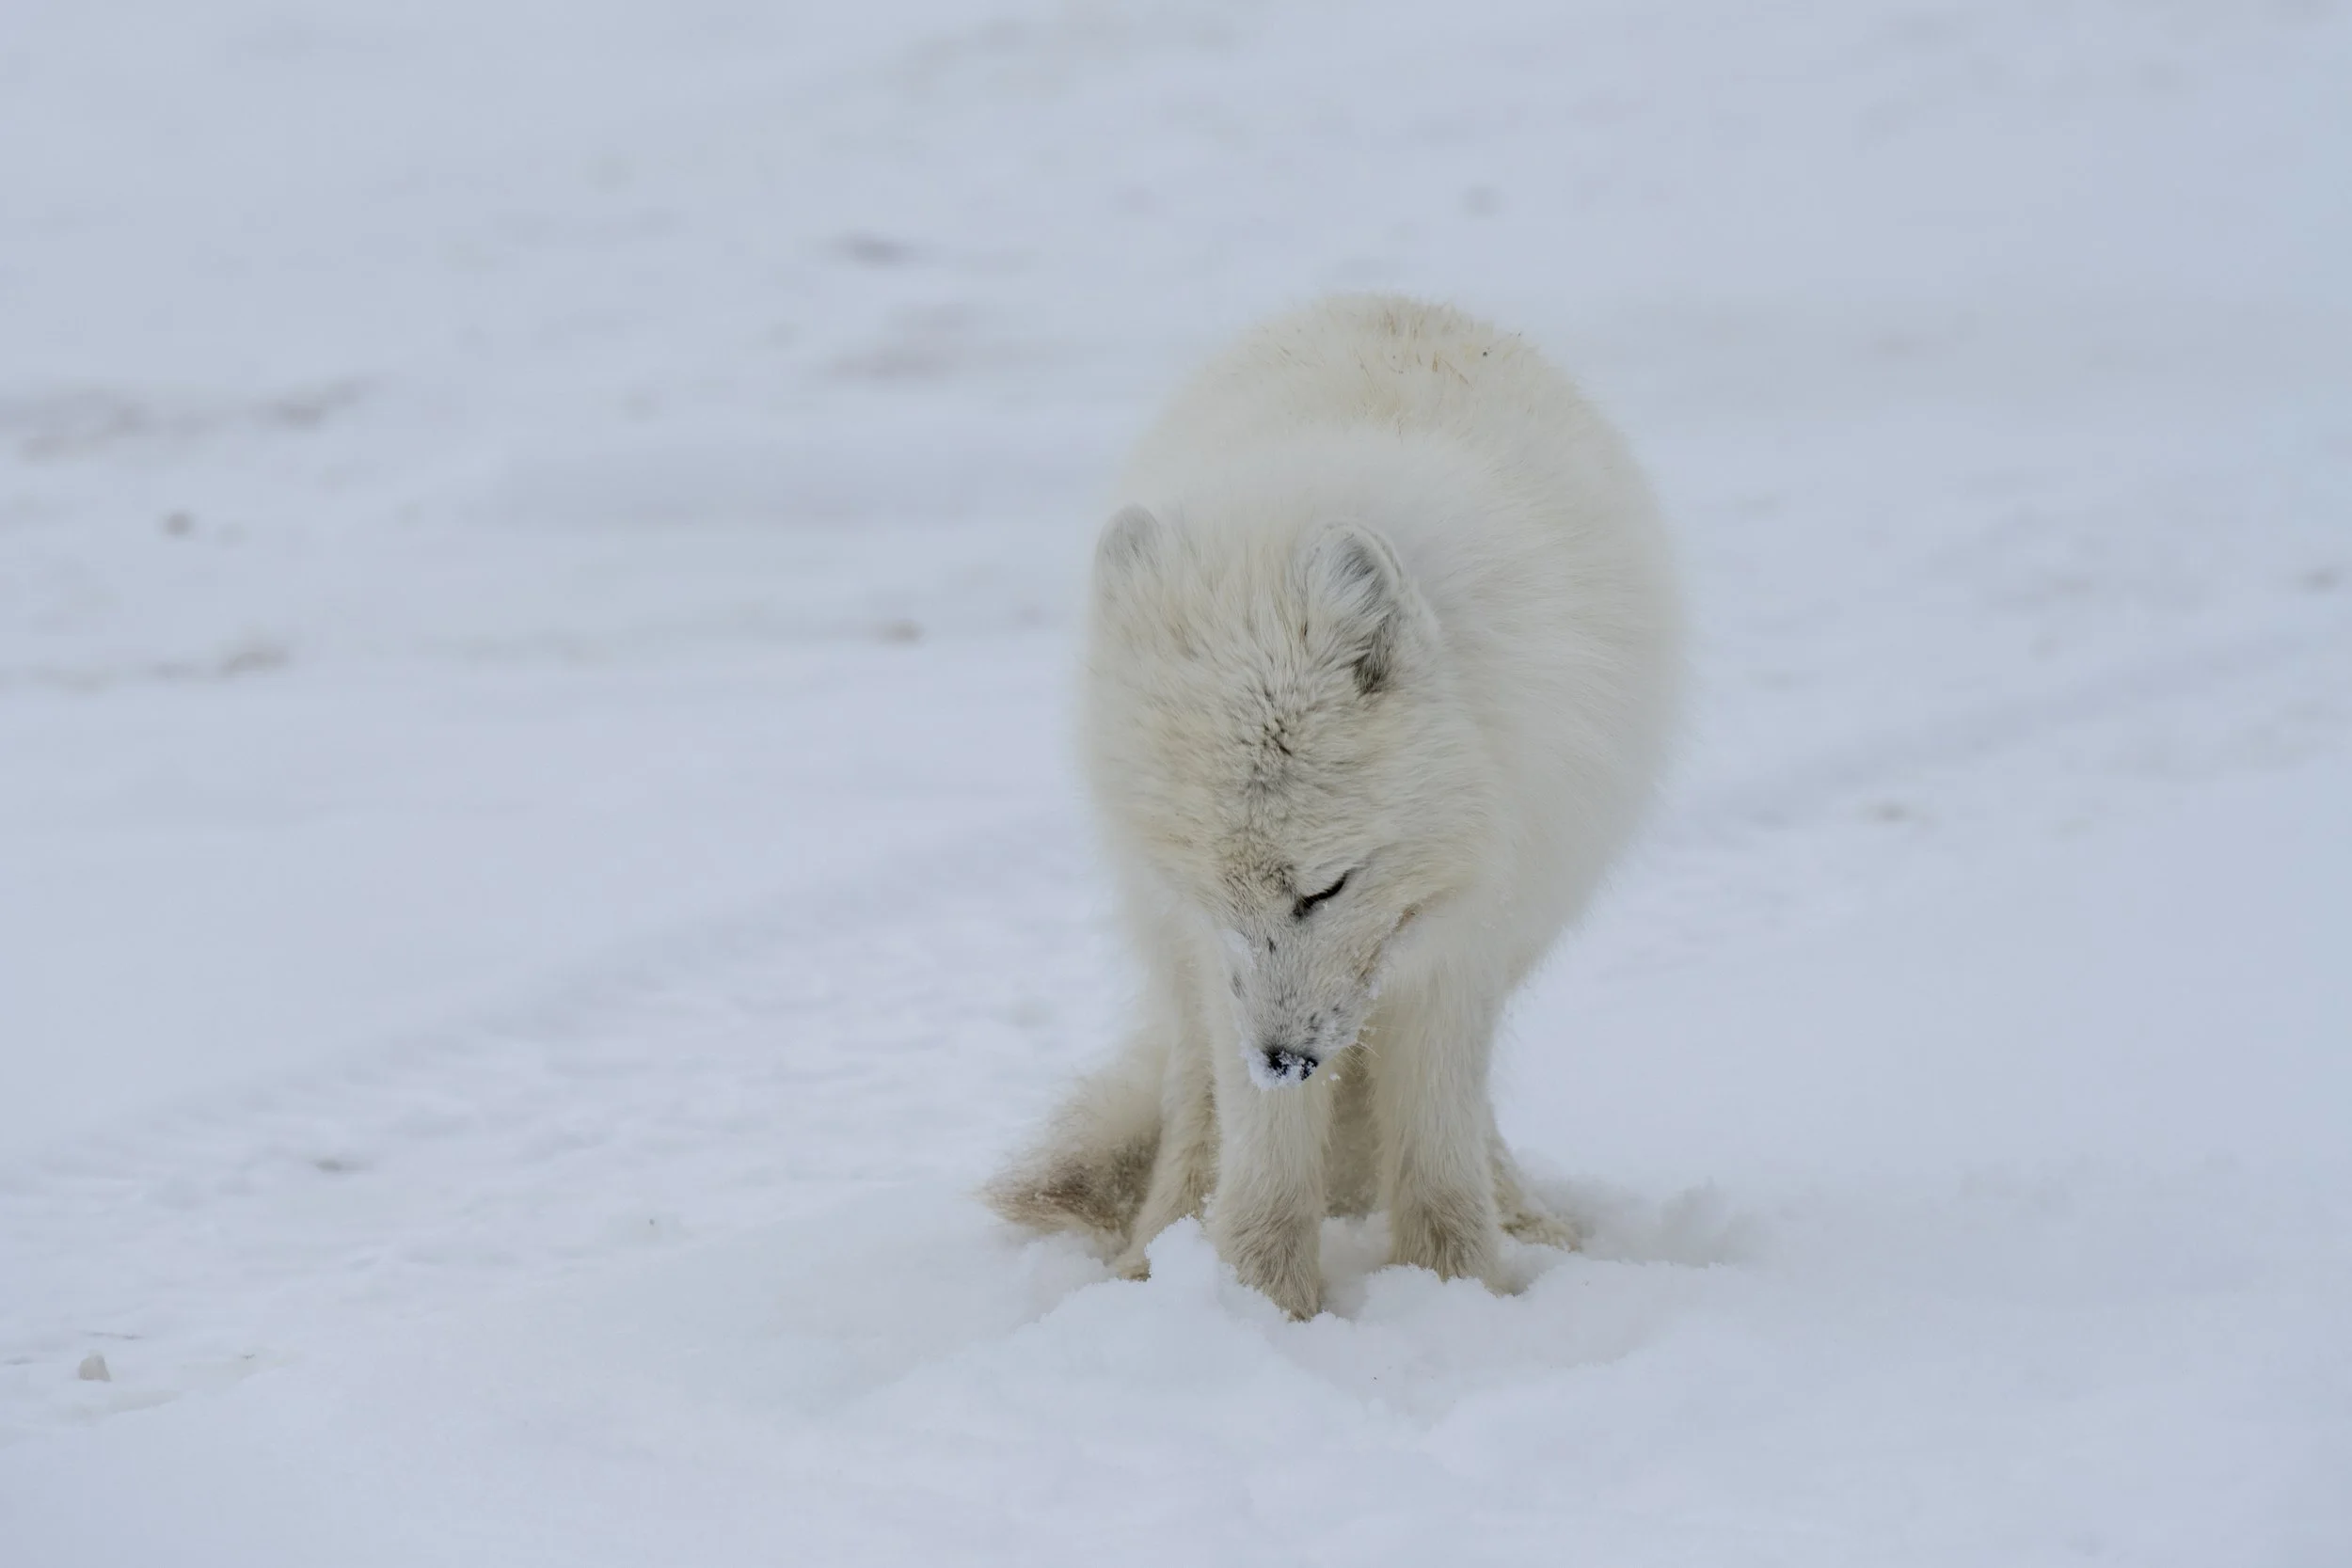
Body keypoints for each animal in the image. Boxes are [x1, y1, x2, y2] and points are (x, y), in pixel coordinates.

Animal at [986, 295, 1681, 1318]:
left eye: (1327, 886)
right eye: (1217, 893)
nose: (1283, 1061)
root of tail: (1393, 301)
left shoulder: (1463, 938)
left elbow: (1437, 1152)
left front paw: (1455, 1288)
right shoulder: (1212, 951)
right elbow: (1263, 1160)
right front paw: (1258, 1301)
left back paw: (1525, 1222)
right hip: (1174, 960)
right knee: (1192, 1105)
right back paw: (1155, 1253)